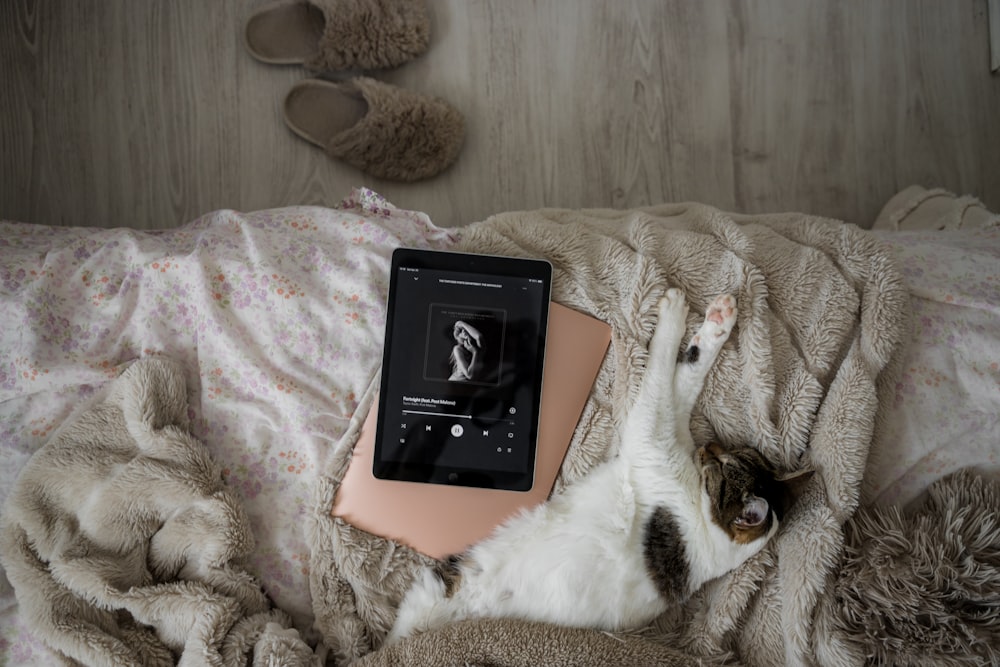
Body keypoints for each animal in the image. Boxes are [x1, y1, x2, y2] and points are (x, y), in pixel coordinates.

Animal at [382, 290, 812, 644]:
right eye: (736, 453)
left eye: (724, 464)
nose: (710, 446)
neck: (706, 526)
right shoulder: (666, 431)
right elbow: (687, 375)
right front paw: (719, 320)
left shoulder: (649, 436)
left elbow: (662, 374)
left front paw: (674, 312)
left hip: (432, 588)